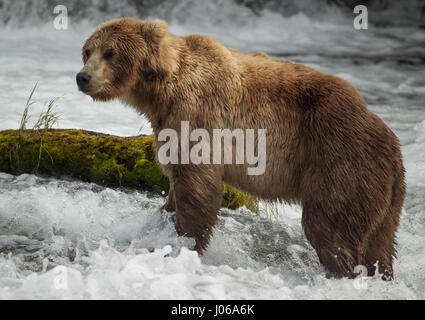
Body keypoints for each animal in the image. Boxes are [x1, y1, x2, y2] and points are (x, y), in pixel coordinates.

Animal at [76, 17, 404, 278]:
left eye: (110, 53)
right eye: (87, 51)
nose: (83, 77)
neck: (160, 90)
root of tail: (392, 144)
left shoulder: (198, 113)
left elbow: (198, 186)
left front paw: (183, 244)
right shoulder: (168, 124)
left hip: (340, 159)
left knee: (329, 227)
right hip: (385, 198)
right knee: (381, 243)